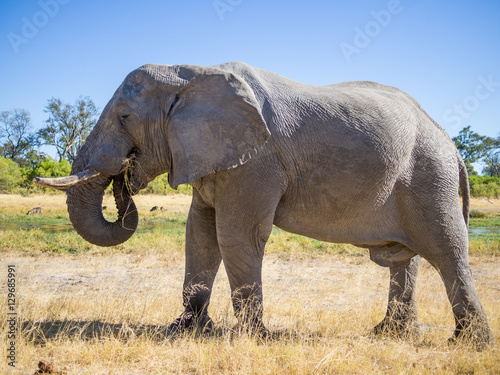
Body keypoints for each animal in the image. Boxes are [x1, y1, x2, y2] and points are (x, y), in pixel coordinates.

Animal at [33, 61, 494, 350]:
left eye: (125, 117)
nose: (125, 176)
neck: (191, 72)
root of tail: (452, 143)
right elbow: (200, 232)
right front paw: (186, 331)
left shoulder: (256, 160)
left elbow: (236, 233)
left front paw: (253, 339)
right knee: (407, 259)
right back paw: (389, 335)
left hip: (428, 176)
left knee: (447, 250)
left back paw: (469, 344)